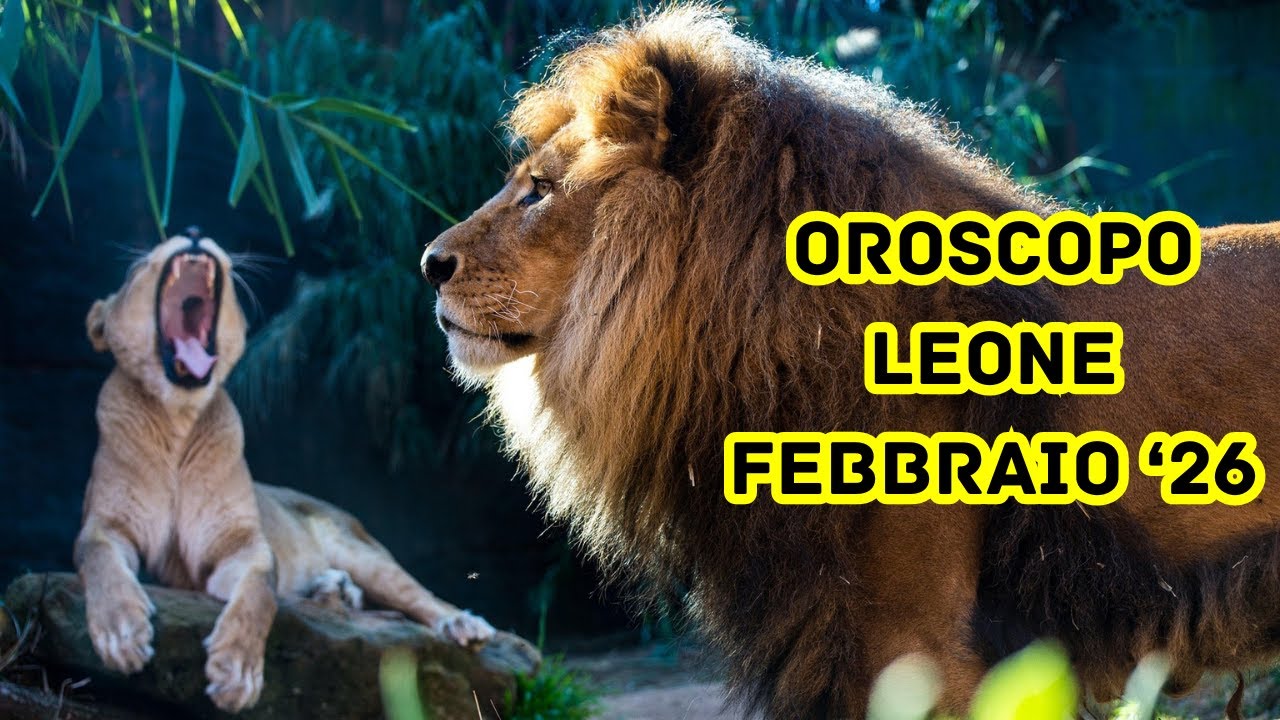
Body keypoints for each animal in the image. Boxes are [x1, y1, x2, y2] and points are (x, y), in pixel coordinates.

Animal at [78, 231, 495, 713]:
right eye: (137, 267)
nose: (196, 233)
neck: (177, 422)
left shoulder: (245, 546)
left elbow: (258, 597)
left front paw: (236, 675)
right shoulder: (105, 526)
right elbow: (100, 561)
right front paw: (121, 636)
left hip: (362, 551)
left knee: (419, 596)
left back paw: (462, 624)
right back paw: (332, 589)